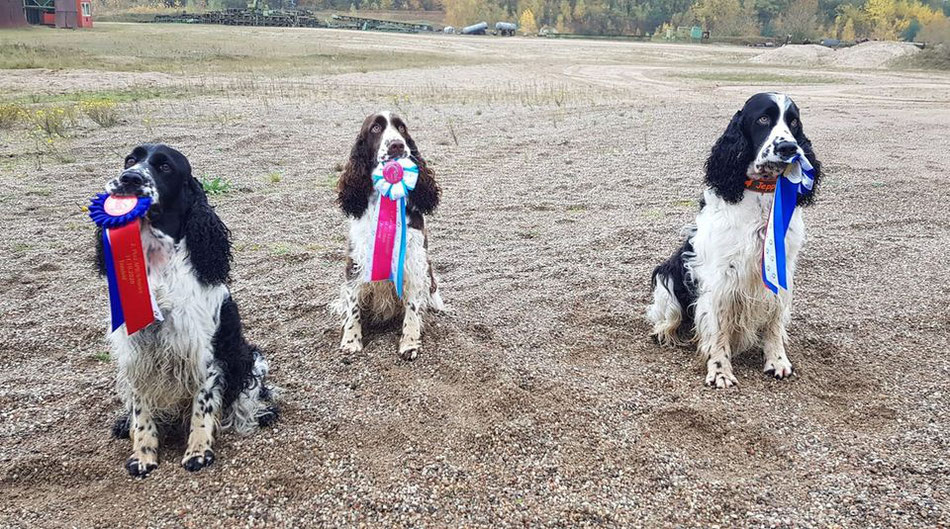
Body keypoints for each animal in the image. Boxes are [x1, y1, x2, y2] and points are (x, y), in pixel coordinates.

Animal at [98, 143, 278, 474]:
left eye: (165, 167)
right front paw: (143, 455)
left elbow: (202, 408)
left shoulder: (203, 352)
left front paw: (198, 452)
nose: (129, 179)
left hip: (250, 358)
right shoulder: (136, 352)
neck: (158, 265)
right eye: (130, 160)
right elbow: (141, 410)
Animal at [334, 111, 446, 358]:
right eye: (375, 128)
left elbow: (412, 307)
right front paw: (351, 340)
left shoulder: (413, 259)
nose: (397, 145)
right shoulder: (357, 259)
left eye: (402, 128)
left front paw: (409, 343)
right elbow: (353, 303)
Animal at [652, 92, 820, 388]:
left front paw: (777, 361)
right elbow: (718, 329)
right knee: (668, 315)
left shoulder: (781, 269)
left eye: (794, 122)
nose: (789, 147)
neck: (761, 195)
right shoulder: (720, 277)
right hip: (668, 275)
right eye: (763, 119)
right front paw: (720, 371)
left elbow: (774, 320)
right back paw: (664, 332)